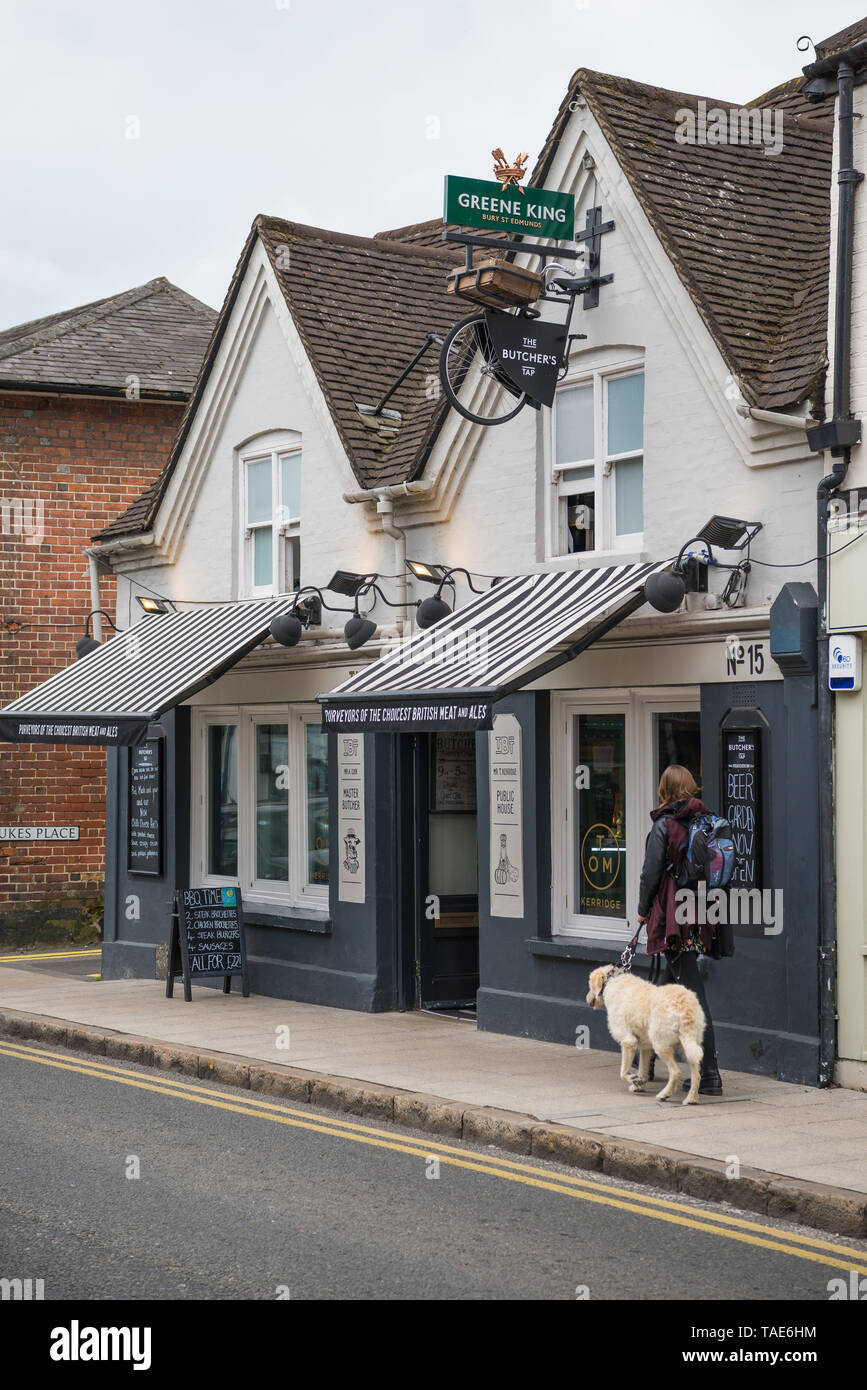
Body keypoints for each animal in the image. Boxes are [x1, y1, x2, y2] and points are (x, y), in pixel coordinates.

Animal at [589, 967, 705, 1106]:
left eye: (590, 986)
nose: (587, 998)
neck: (612, 980)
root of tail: (684, 1008)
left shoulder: (628, 1041)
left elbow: (623, 1072)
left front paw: (633, 1079)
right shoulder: (645, 1047)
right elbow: (643, 1069)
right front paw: (638, 1084)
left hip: (661, 1045)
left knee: (676, 1072)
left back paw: (664, 1095)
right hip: (689, 1046)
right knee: (697, 1074)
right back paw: (691, 1099)